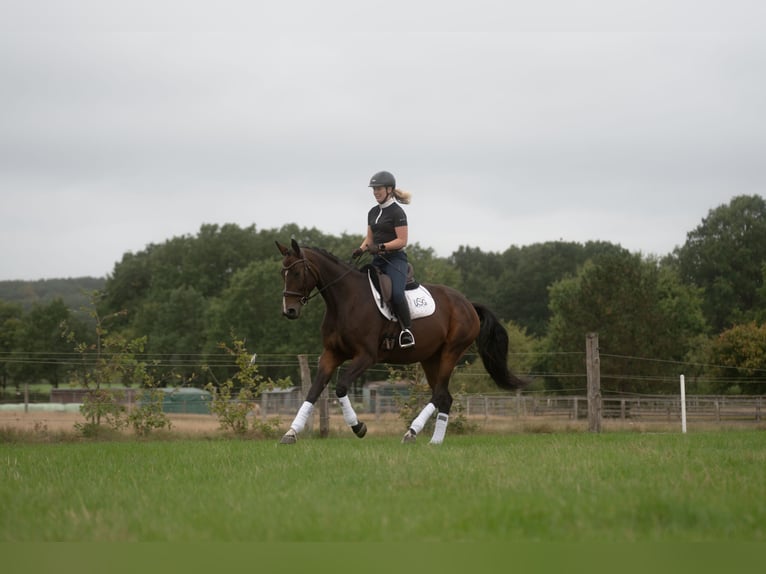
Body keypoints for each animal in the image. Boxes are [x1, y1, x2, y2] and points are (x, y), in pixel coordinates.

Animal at [276, 238, 525, 444]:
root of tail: (468, 304)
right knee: (445, 397)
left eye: (296, 272)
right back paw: (435, 442)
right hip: (431, 358)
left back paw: (412, 432)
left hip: (451, 352)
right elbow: (313, 391)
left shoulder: (366, 356)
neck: (345, 301)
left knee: (439, 394)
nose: (289, 311)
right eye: (282, 273)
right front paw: (291, 433)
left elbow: (341, 386)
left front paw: (359, 427)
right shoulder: (331, 354)